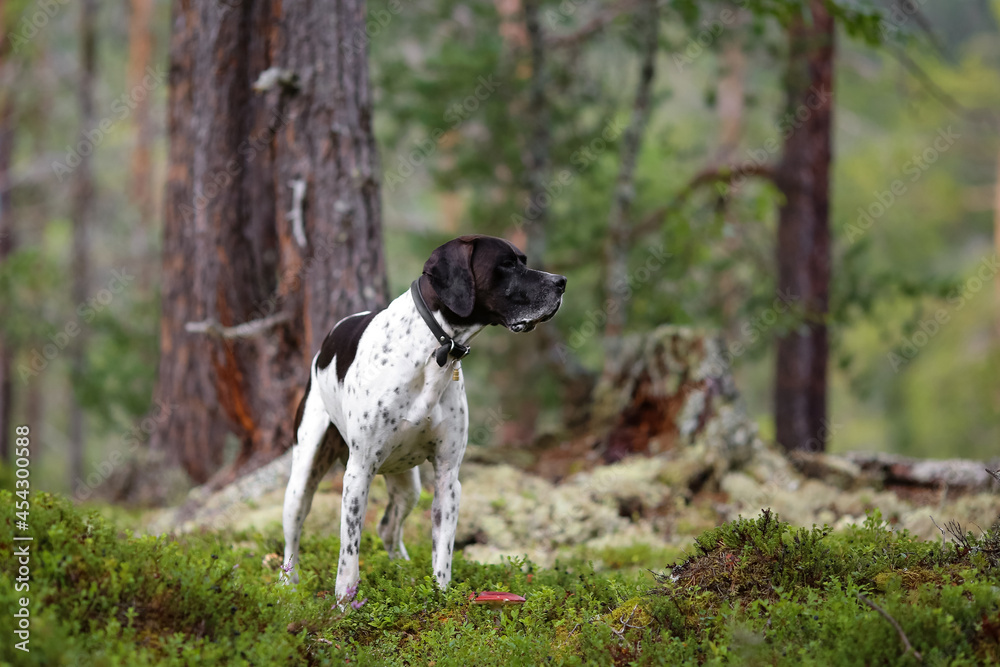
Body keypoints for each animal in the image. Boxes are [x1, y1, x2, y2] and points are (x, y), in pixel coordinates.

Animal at [282, 236, 568, 604]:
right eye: (506, 264)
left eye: (523, 260)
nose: (561, 282)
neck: (434, 348)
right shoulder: (358, 473)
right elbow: (349, 555)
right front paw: (346, 604)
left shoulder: (448, 476)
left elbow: (442, 550)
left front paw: (441, 598)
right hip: (303, 478)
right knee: (293, 537)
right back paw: (287, 588)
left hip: (407, 485)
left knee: (388, 527)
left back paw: (401, 570)